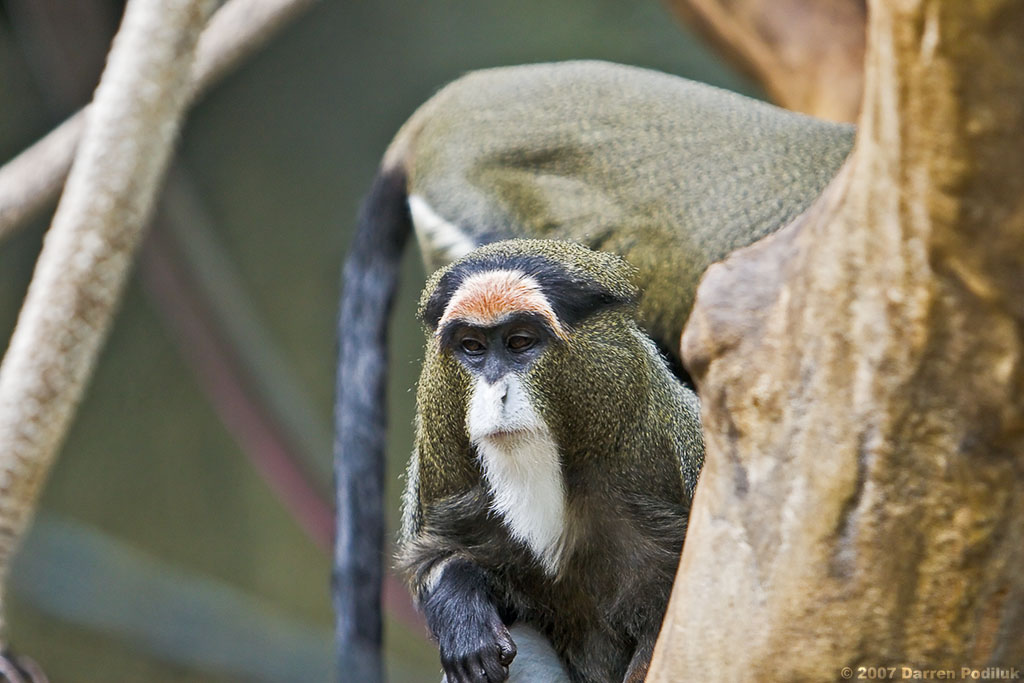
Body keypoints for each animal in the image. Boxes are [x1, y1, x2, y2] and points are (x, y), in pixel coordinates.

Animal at [397, 240, 704, 683]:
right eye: (472, 346)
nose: (497, 393)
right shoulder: (442, 469)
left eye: (520, 342)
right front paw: (462, 612)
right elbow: (438, 556)